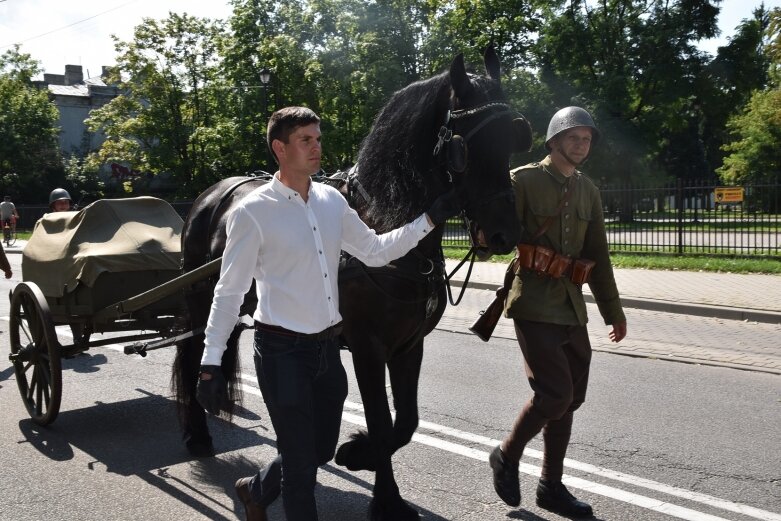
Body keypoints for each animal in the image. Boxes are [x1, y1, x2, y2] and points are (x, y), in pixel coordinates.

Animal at [175, 46, 532, 516]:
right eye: (465, 148)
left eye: (513, 139)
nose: (505, 234)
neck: (384, 221)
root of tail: (211, 193)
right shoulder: (368, 347)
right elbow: (381, 421)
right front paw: (386, 499)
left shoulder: (409, 345)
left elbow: (407, 421)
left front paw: (355, 454)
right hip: (202, 304)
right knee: (194, 355)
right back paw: (198, 433)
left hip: (238, 308)